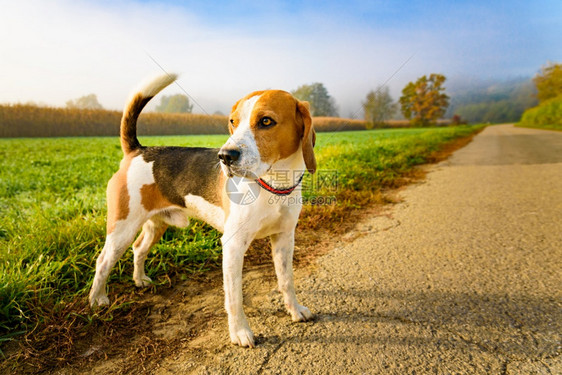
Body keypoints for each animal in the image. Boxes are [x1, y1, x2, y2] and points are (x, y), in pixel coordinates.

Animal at [88, 74, 316, 350]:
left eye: (266, 121)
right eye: (233, 122)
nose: (225, 156)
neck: (273, 184)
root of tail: (138, 150)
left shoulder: (284, 238)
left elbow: (286, 280)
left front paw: (295, 310)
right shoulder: (233, 245)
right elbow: (234, 296)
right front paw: (240, 332)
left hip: (156, 225)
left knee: (139, 248)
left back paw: (139, 279)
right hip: (122, 228)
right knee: (102, 262)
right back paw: (97, 299)